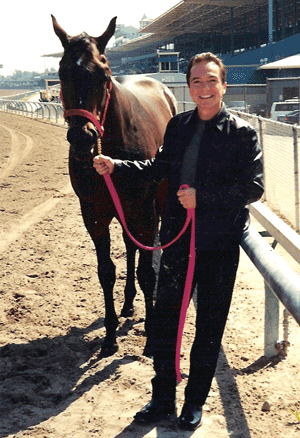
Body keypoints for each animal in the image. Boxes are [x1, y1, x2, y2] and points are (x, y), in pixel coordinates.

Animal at [52, 15, 178, 358]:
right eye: (61, 72)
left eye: (104, 74)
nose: (82, 138)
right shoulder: (94, 214)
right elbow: (106, 271)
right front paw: (109, 336)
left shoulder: (145, 211)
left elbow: (148, 270)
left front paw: (151, 336)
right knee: (130, 246)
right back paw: (128, 304)